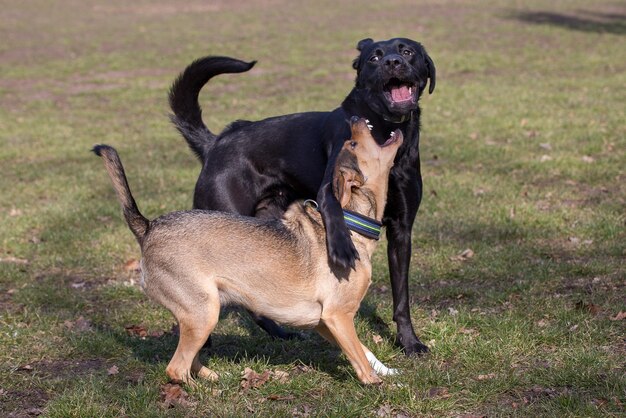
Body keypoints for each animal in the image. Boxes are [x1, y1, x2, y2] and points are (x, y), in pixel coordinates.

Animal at [95, 117, 402, 386]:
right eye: (353, 143)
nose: (355, 119)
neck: (351, 222)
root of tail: (149, 227)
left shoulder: (325, 323)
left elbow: (364, 351)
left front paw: (388, 372)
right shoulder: (338, 316)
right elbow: (358, 356)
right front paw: (376, 384)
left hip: (200, 314)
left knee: (189, 361)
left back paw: (214, 377)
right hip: (203, 313)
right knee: (176, 368)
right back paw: (208, 390)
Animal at [168, 36, 436, 356]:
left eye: (407, 51)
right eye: (374, 57)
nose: (393, 62)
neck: (384, 130)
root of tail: (215, 144)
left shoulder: (401, 229)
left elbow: (401, 297)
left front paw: (409, 342)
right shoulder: (330, 187)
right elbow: (334, 214)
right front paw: (343, 250)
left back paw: (279, 333)